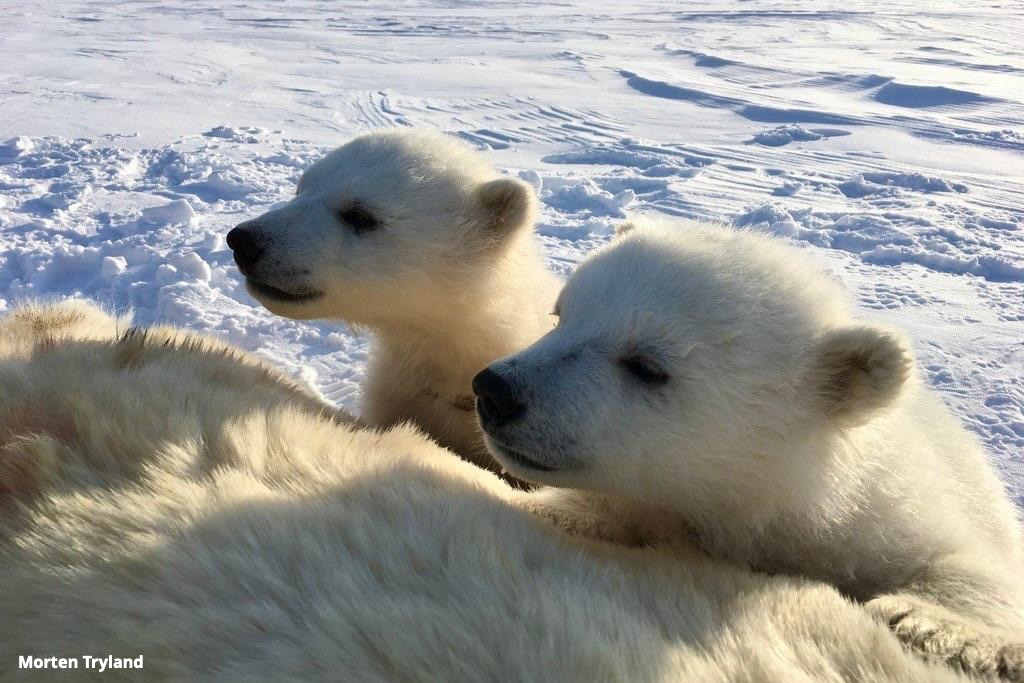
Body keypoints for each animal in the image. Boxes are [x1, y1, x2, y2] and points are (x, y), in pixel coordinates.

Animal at [473, 218, 1024, 679]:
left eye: (646, 365)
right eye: (559, 315)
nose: (496, 390)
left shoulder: (892, 515)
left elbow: (975, 569)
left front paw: (922, 621)